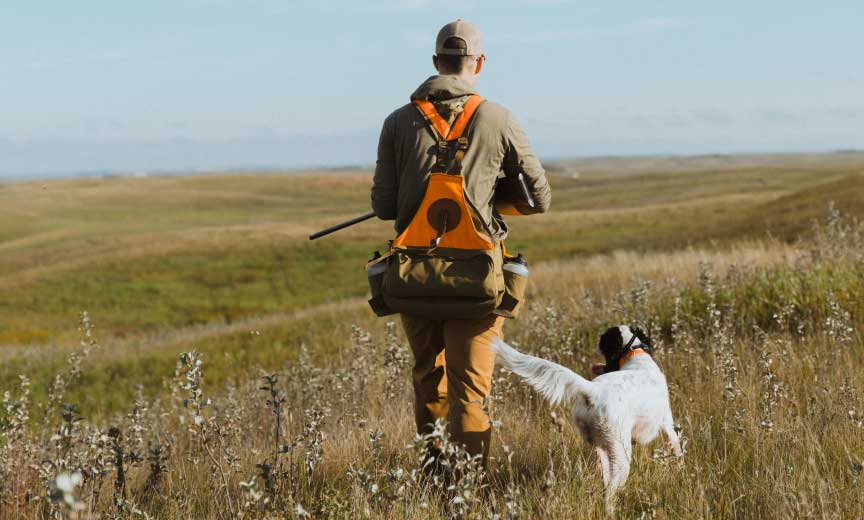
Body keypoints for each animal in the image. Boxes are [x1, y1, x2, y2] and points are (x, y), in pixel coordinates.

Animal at [492, 324, 680, 512]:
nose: (596, 341)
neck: (635, 355)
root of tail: (593, 389)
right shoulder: (668, 425)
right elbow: (677, 450)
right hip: (621, 454)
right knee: (610, 492)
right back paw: (611, 511)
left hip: (602, 448)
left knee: (605, 481)